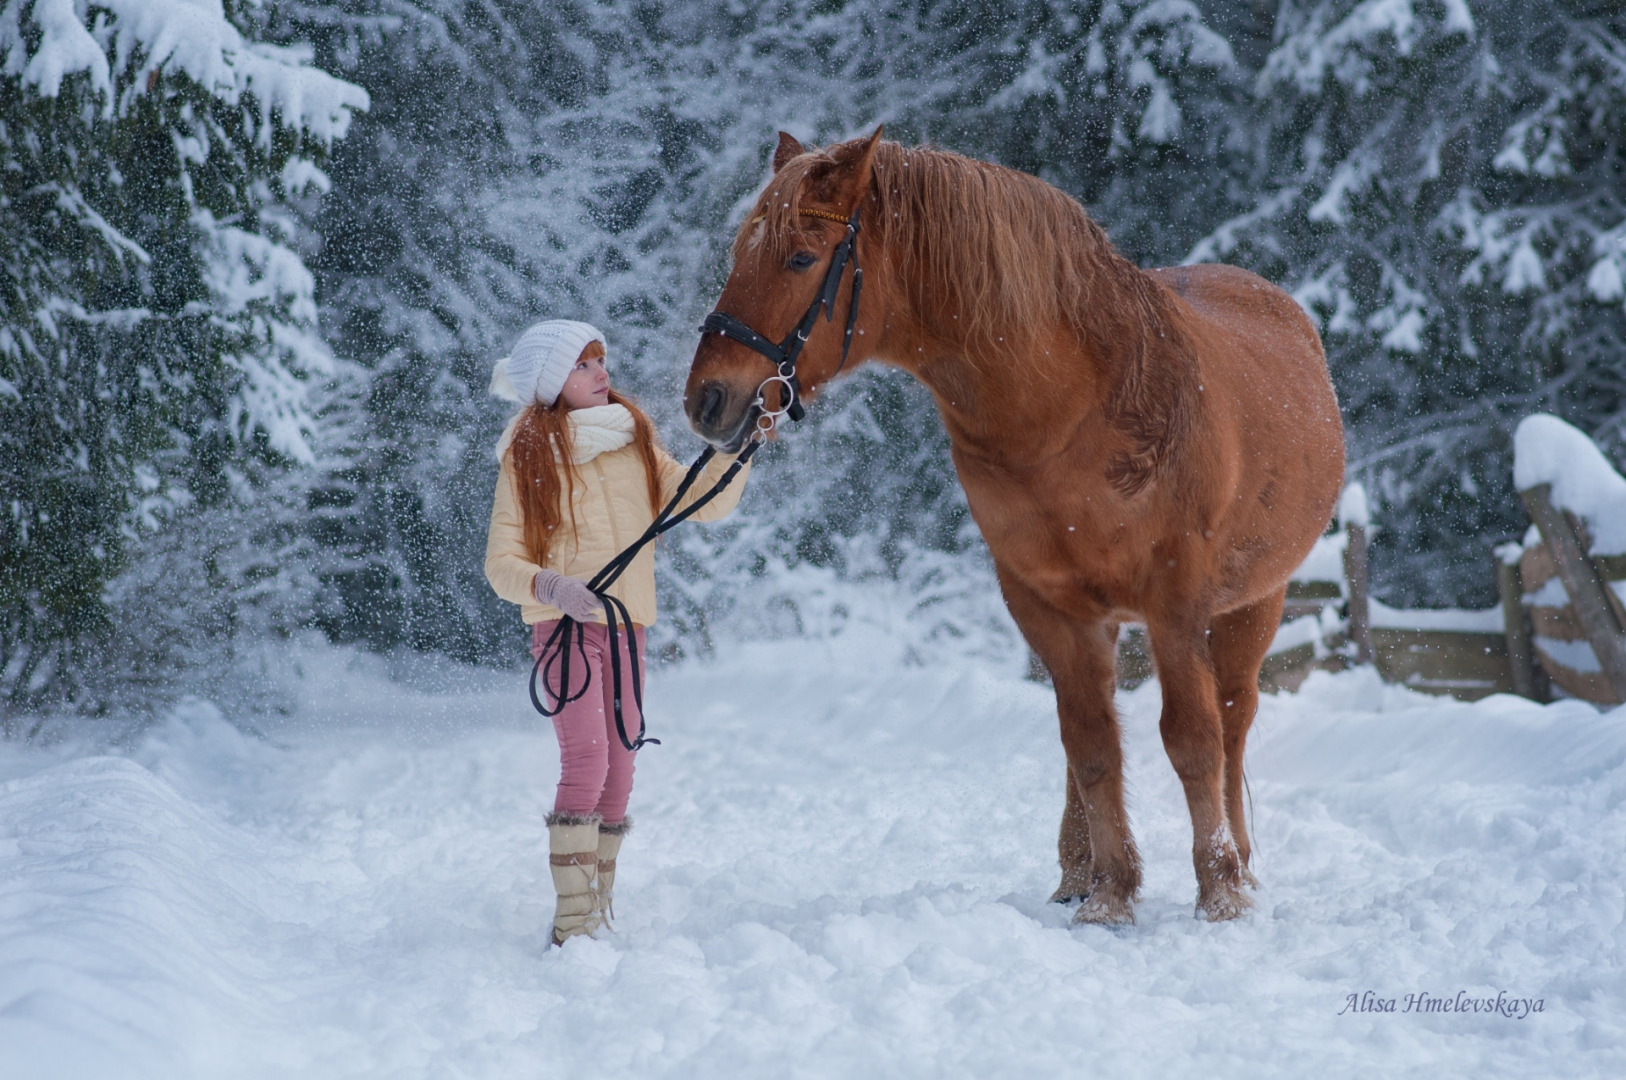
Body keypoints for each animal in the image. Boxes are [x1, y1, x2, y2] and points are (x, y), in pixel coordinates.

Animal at [679, 126, 1339, 917]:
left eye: (801, 257)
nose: (707, 400)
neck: (1076, 404)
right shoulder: (1040, 600)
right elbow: (1090, 745)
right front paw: (1111, 896)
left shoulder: (1177, 601)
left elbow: (1193, 740)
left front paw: (1220, 894)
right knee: (1094, 730)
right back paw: (1078, 873)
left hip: (1253, 605)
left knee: (1233, 722)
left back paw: (1238, 863)